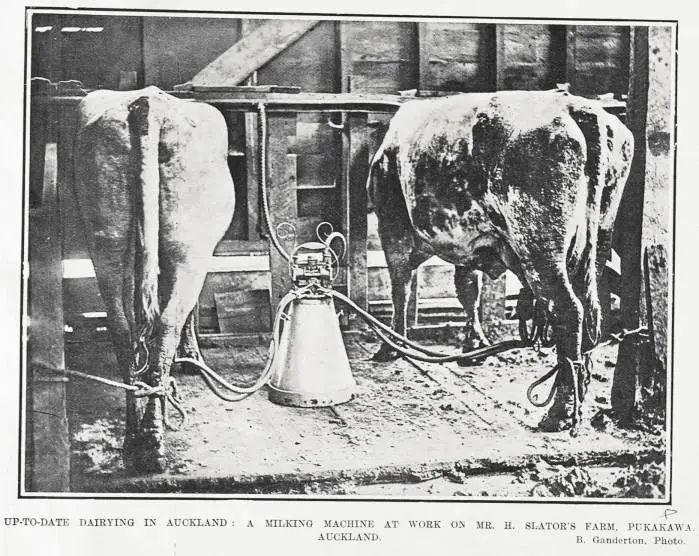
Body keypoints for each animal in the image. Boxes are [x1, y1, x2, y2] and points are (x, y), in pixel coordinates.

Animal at [74, 86, 237, 470]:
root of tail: (148, 106)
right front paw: (191, 357)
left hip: (106, 237)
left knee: (123, 328)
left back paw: (135, 438)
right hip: (188, 243)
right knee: (166, 324)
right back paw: (153, 441)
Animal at [370, 90, 636, 430]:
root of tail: (574, 107)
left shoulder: (393, 228)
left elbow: (400, 288)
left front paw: (391, 345)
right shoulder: (466, 245)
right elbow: (467, 289)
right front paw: (474, 346)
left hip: (539, 247)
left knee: (568, 310)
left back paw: (558, 414)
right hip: (597, 242)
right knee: (592, 313)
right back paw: (577, 400)